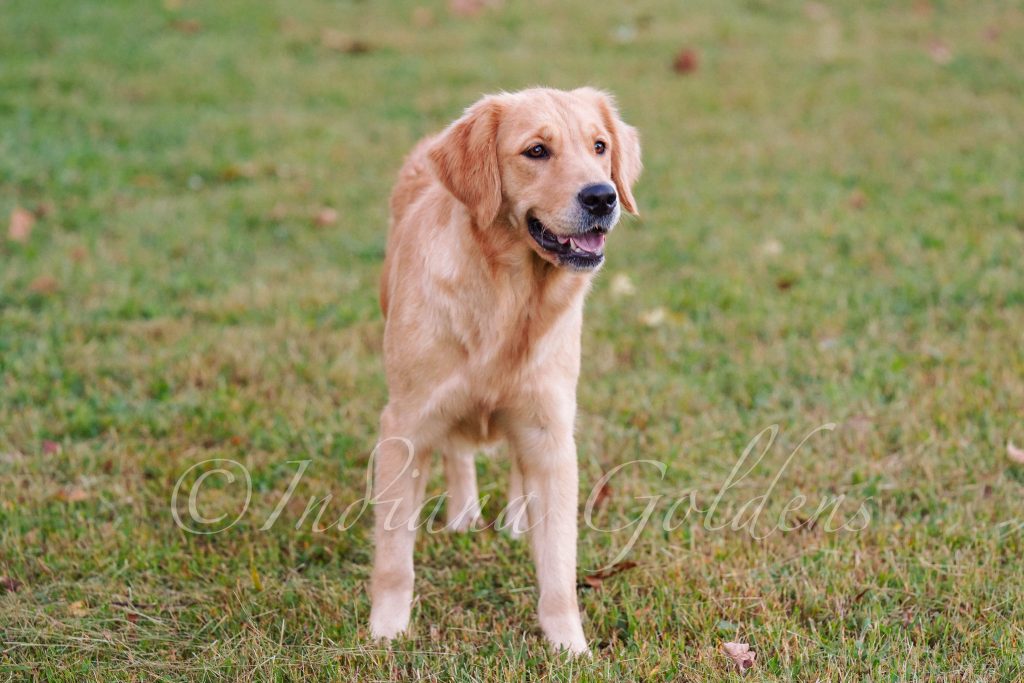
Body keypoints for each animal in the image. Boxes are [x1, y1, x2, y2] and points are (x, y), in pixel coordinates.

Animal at [369, 87, 641, 654]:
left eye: (599, 146)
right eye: (536, 151)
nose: (602, 197)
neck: (511, 298)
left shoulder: (551, 430)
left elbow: (559, 563)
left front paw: (569, 647)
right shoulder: (405, 425)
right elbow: (394, 555)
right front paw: (386, 633)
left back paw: (517, 521)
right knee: (457, 452)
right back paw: (464, 517)